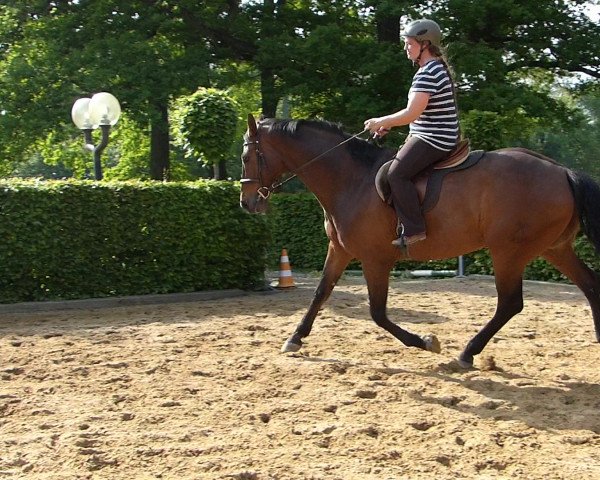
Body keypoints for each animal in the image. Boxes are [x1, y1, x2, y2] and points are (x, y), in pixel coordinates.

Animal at [238, 112, 600, 368]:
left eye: (245, 158)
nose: (246, 202)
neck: (351, 180)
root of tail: (562, 171)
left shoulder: (374, 259)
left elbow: (377, 313)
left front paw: (425, 341)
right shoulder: (339, 250)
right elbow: (319, 293)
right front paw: (295, 338)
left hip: (508, 252)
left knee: (510, 304)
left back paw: (467, 353)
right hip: (554, 248)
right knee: (590, 283)